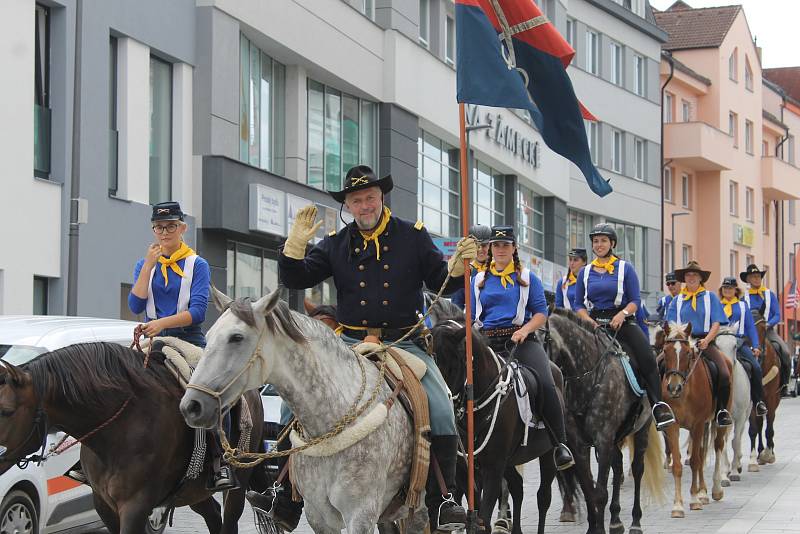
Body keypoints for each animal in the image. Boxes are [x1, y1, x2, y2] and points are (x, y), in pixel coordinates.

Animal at [0, 344, 266, 534]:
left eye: (6, 411)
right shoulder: (104, 505)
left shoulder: (135, 507)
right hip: (192, 489)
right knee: (212, 514)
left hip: (237, 485)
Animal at [660, 322, 728, 520]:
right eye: (665, 351)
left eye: (688, 353)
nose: (674, 388)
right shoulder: (673, 426)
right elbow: (678, 464)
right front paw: (677, 506)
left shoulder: (697, 425)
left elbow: (696, 461)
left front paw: (694, 500)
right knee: (702, 451)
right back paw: (703, 492)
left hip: (715, 422)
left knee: (716, 447)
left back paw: (714, 490)